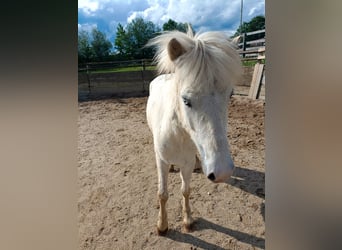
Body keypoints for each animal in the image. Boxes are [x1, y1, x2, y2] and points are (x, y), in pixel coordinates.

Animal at [146, 28, 242, 233]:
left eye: (230, 95)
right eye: (185, 100)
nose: (222, 172)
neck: (177, 135)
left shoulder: (187, 163)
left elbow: (186, 190)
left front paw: (188, 220)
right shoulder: (161, 161)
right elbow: (163, 194)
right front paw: (162, 225)